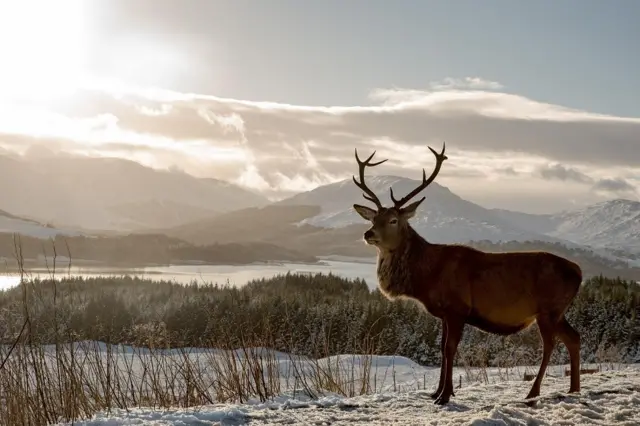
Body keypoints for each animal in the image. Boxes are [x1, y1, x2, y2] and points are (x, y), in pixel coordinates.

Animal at [351, 143, 582, 405]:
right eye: (374, 218)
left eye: (392, 220)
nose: (368, 233)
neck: (426, 277)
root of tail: (579, 272)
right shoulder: (443, 313)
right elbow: (442, 348)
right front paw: (437, 392)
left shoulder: (457, 308)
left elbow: (450, 349)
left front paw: (445, 396)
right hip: (558, 311)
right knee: (574, 338)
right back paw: (574, 388)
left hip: (548, 309)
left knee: (550, 344)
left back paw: (533, 391)